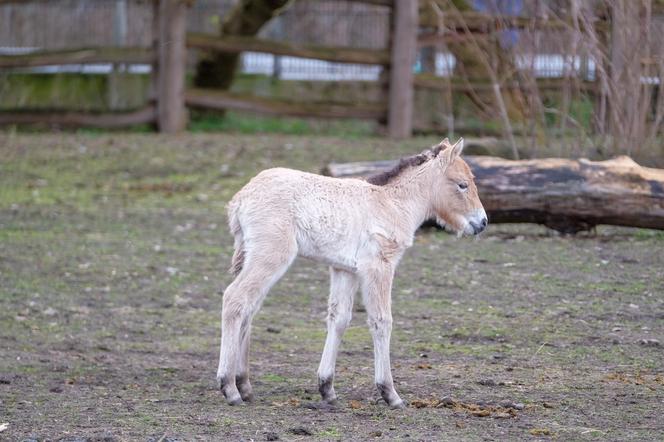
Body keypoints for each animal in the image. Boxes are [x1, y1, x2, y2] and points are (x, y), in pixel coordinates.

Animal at [219, 137, 488, 408]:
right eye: (463, 184)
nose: (483, 223)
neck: (393, 204)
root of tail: (240, 199)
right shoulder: (379, 265)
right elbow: (382, 320)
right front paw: (390, 393)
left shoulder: (344, 269)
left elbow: (339, 319)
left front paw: (327, 388)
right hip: (272, 255)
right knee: (235, 299)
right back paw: (229, 387)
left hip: (254, 256)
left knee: (249, 308)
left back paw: (244, 385)